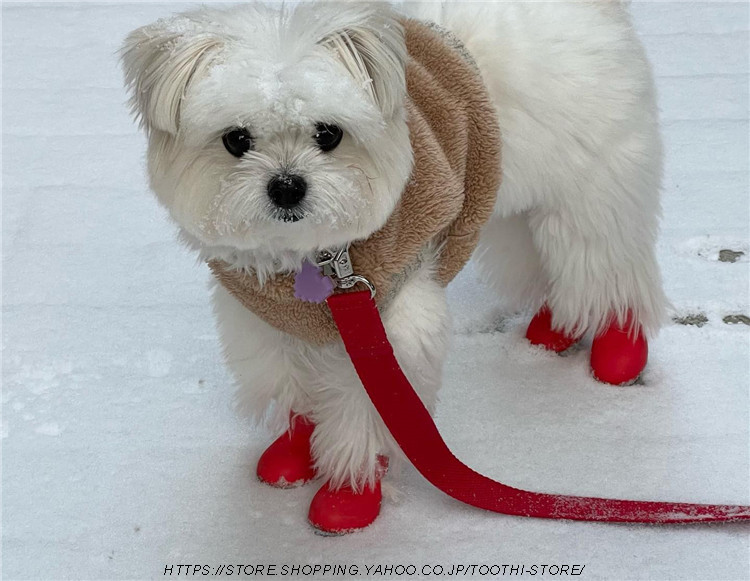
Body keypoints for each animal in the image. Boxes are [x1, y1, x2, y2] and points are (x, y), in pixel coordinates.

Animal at [123, 1, 668, 536]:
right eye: (236, 139)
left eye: (329, 134)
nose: (286, 186)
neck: (311, 258)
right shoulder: (265, 323)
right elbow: (293, 386)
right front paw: (297, 451)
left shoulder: (387, 331)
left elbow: (365, 413)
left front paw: (351, 490)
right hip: (516, 207)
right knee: (551, 268)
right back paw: (556, 327)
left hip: (587, 199)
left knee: (607, 271)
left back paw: (619, 347)